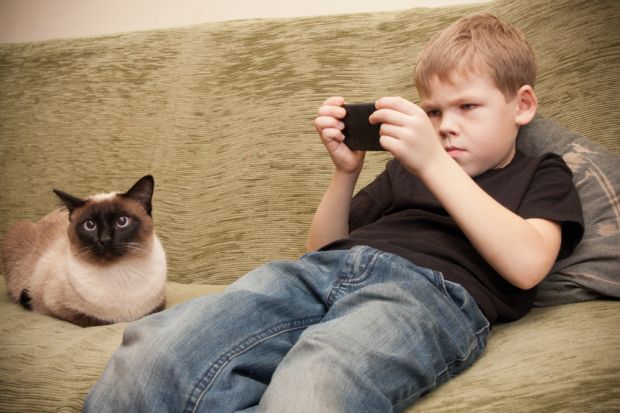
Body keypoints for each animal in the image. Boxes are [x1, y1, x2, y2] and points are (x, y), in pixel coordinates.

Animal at [1, 175, 166, 326]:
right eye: (90, 225)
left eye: (122, 221)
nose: (105, 240)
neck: (119, 270)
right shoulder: (58, 307)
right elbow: (99, 320)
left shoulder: (158, 305)